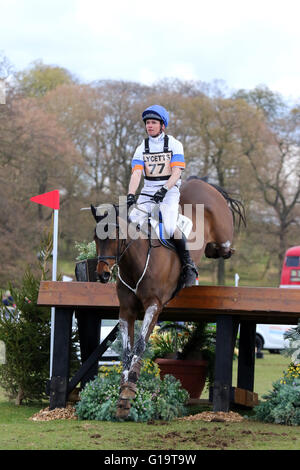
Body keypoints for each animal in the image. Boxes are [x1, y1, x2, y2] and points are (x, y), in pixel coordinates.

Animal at [91, 177, 246, 418]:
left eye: (115, 236)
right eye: (96, 238)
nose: (102, 274)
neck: (136, 262)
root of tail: (203, 183)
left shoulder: (154, 306)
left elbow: (139, 346)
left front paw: (129, 388)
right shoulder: (126, 311)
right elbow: (126, 350)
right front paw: (122, 394)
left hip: (223, 234)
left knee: (224, 248)